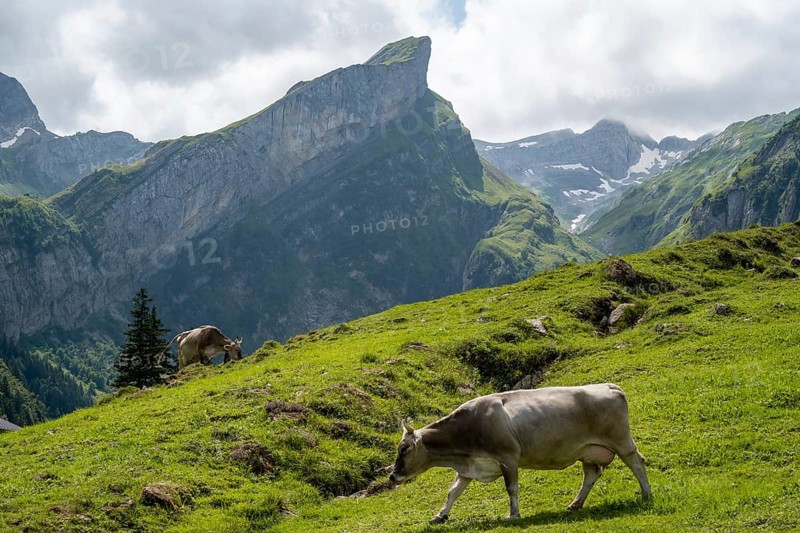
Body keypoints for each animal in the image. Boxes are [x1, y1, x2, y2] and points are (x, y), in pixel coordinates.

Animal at [389, 383, 651, 524]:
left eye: (403, 449)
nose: (393, 476)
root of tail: (609, 386)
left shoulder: (507, 457)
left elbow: (511, 488)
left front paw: (513, 514)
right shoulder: (471, 465)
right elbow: (453, 491)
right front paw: (440, 515)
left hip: (621, 441)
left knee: (637, 462)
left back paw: (647, 495)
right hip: (588, 451)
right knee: (590, 475)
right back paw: (575, 504)